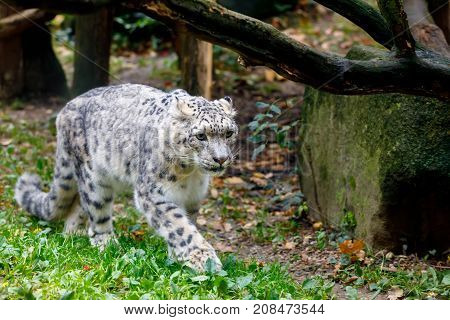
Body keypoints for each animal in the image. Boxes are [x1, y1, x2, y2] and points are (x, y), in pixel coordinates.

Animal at [14, 84, 239, 272]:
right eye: (201, 136)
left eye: (228, 133)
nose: (221, 159)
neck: (190, 175)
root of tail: (65, 109)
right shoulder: (153, 194)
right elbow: (179, 226)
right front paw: (204, 259)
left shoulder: (192, 199)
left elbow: (184, 224)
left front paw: (178, 257)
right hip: (93, 178)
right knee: (96, 211)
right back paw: (107, 243)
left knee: (78, 206)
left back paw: (73, 235)